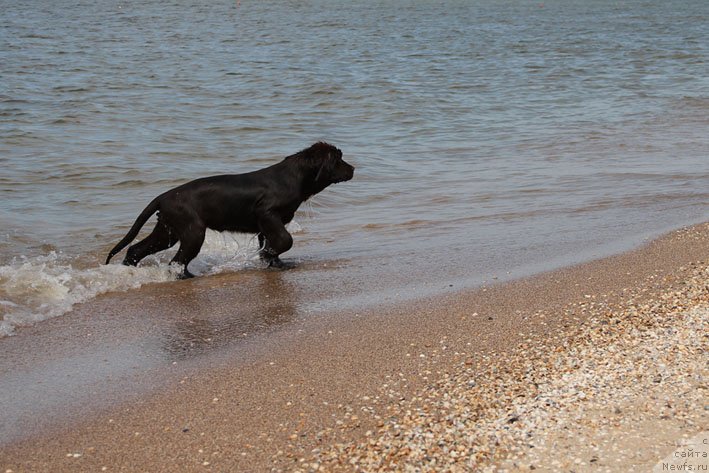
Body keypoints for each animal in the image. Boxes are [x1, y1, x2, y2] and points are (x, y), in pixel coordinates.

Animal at [105, 142, 354, 278]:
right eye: (339, 159)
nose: (353, 169)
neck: (296, 177)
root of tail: (162, 197)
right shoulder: (268, 214)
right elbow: (285, 240)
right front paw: (269, 256)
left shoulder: (266, 224)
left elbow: (272, 243)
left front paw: (274, 262)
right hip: (192, 232)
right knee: (176, 261)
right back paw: (188, 277)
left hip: (168, 230)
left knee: (136, 249)